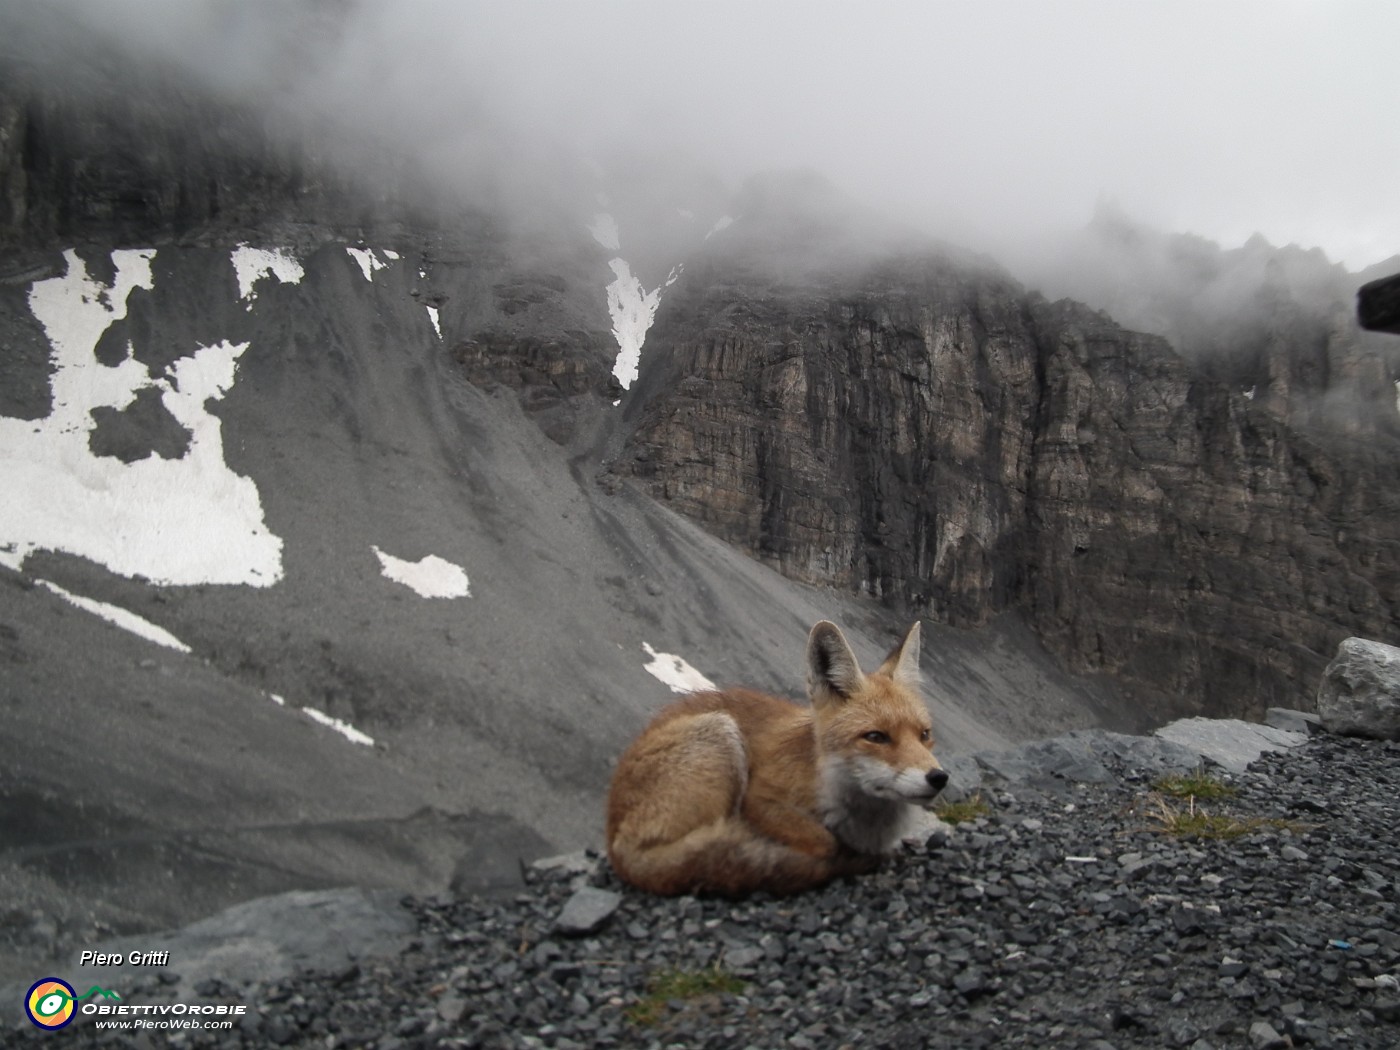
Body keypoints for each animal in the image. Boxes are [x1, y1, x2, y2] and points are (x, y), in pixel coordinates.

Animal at [607, 621, 946, 901]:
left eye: (925, 734)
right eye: (876, 737)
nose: (938, 778)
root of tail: (615, 844)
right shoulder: (759, 800)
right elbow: (824, 841)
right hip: (721, 733)